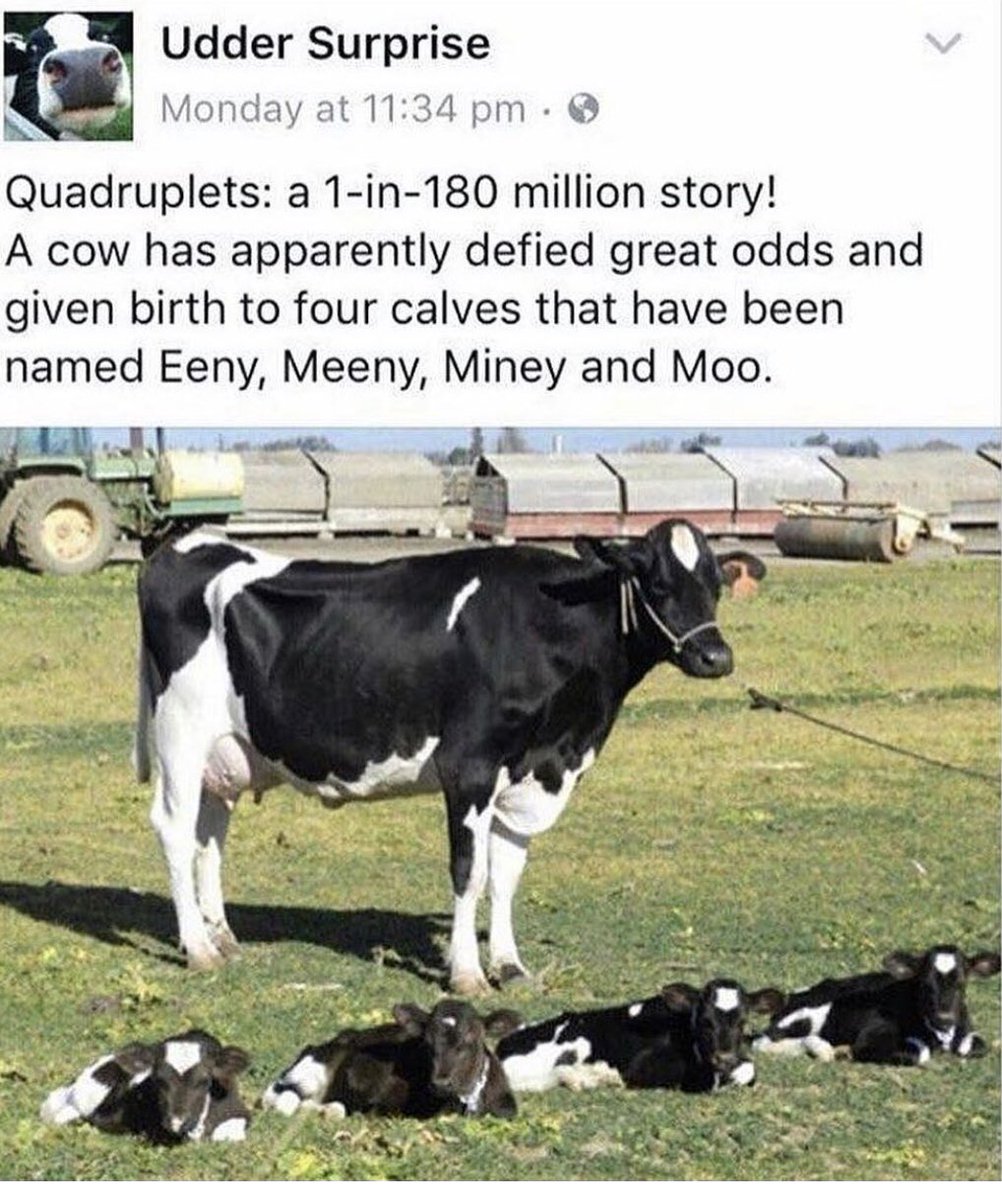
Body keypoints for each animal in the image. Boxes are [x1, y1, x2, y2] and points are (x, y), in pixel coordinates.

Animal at [135, 521, 764, 994]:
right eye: (656, 582)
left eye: (715, 582)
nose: (716, 656)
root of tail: (183, 545)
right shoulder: (470, 764)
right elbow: (471, 870)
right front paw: (467, 973)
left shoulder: (530, 770)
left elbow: (507, 873)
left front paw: (509, 965)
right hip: (180, 730)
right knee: (174, 827)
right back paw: (198, 948)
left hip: (226, 750)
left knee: (210, 831)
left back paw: (221, 935)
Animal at [753, 945, 1001, 1065]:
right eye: (924, 983)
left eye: (962, 982)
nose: (944, 1018)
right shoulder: (870, 1039)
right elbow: (918, 1053)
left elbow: (979, 1045)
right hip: (809, 1014)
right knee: (762, 1041)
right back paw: (824, 1048)